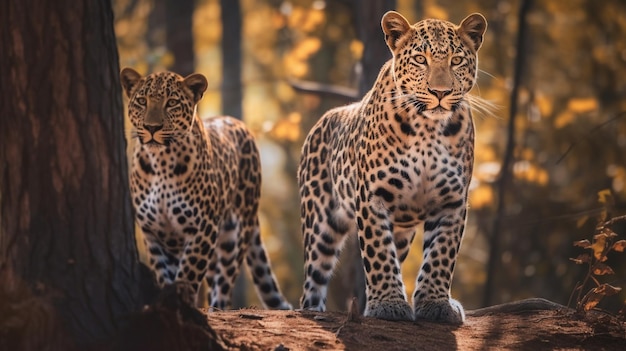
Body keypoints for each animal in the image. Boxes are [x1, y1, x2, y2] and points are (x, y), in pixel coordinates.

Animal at [120, 69, 292, 310]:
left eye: (171, 103)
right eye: (142, 101)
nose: (151, 128)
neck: (160, 163)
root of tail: (237, 122)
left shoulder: (203, 227)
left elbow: (188, 274)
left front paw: (183, 304)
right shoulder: (153, 232)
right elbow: (164, 275)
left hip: (234, 234)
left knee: (224, 283)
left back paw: (216, 307)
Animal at [298, 11, 488, 324]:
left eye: (457, 60)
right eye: (421, 59)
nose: (440, 92)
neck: (427, 129)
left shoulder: (452, 201)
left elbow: (441, 255)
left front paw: (436, 304)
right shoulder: (373, 197)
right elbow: (378, 253)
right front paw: (388, 304)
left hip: (402, 231)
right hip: (321, 225)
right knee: (314, 278)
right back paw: (312, 311)